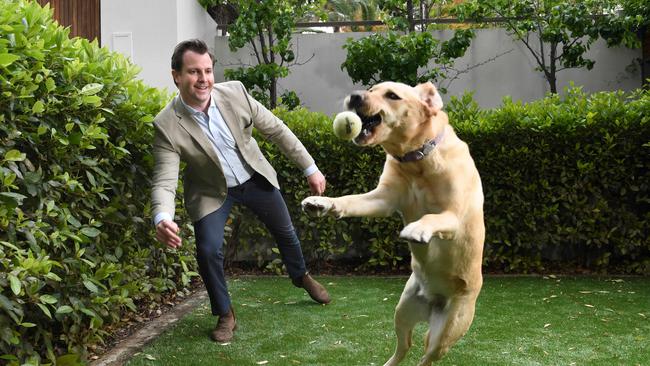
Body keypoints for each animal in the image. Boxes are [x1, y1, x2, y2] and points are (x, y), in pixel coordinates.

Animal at [300, 81, 480, 364]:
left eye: (392, 95)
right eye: (372, 89)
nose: (355, 96)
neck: (417, 160)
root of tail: (433, 303)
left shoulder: (455, 215)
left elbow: (433, 217)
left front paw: (418, 228)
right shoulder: (382, 198)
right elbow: (349, 200)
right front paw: (322, 202)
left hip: (445, 334)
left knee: (426, 357)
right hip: (403, 311)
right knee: (404, 346)